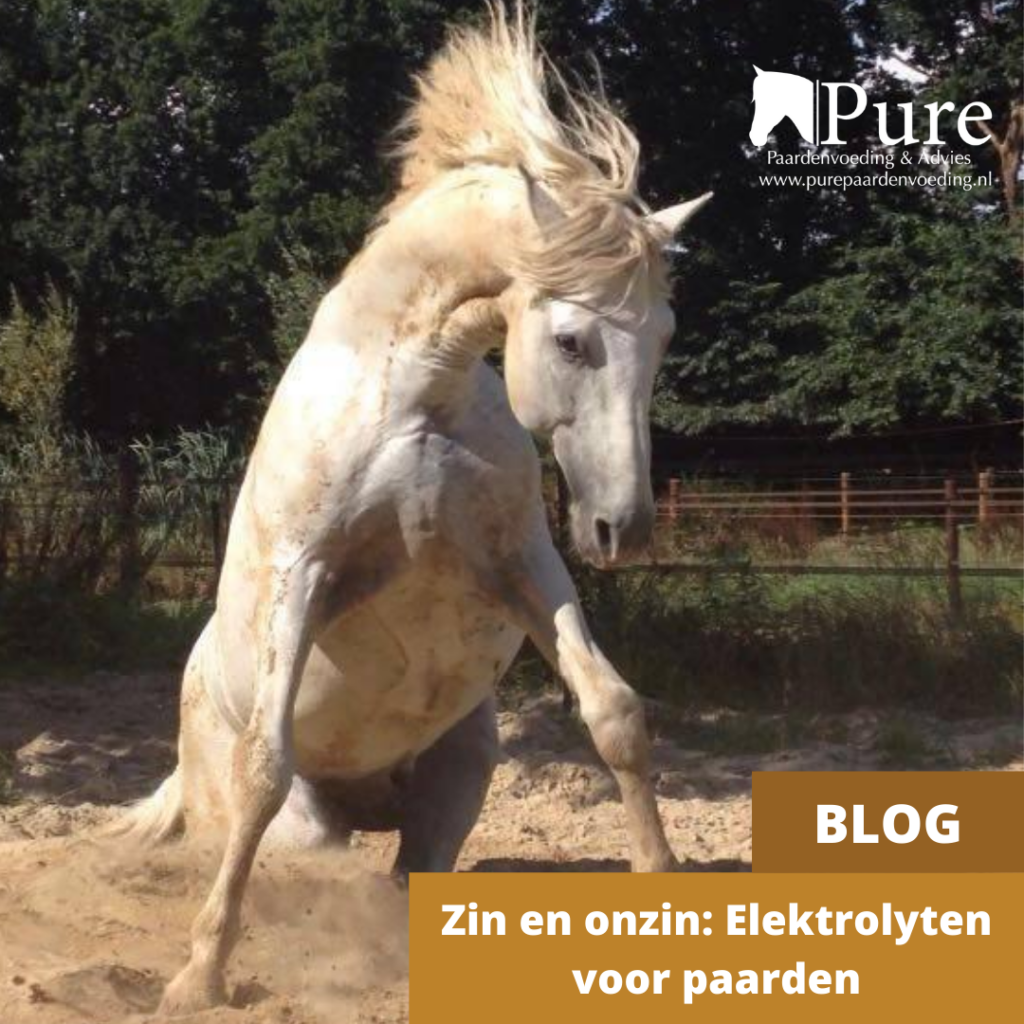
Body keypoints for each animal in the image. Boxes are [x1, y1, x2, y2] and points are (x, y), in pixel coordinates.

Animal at [121, 5, 710, 1015]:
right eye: (571, 340)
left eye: (665, 336)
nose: (622, 529)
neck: (417, 397)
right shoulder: (305, 573)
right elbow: (265, 765)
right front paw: (199, 978)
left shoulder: (524, 564)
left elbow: (615, 715)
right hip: (292, 818)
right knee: (284, 844)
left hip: (457, 776)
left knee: (408, 868)